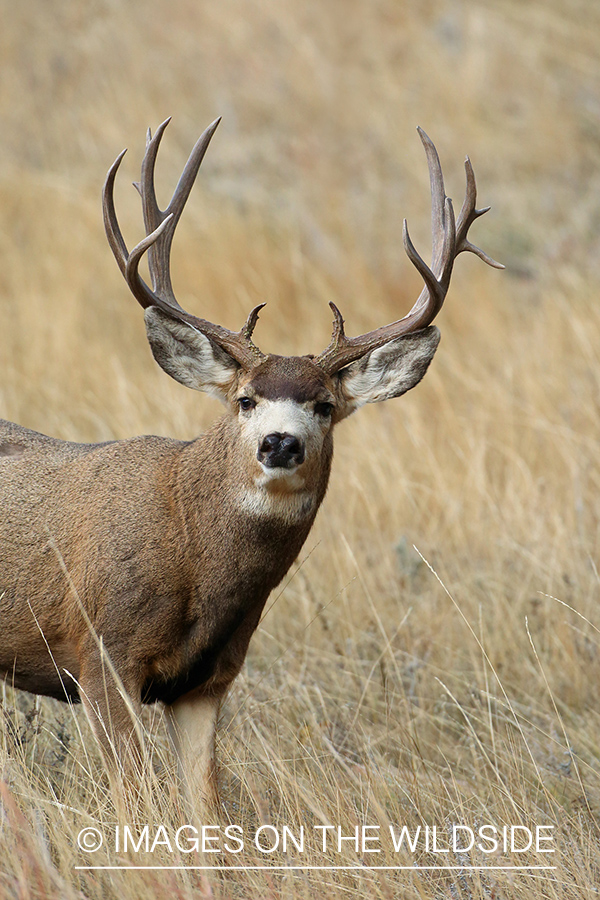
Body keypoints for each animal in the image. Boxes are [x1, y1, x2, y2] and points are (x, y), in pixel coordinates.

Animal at [0, 116, 502, 812]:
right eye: (245, 400)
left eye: (324, 405)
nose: (280, 444)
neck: (192, 556)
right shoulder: (101, 653)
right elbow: (137, 802)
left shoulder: (208, 679)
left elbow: (204, 806)